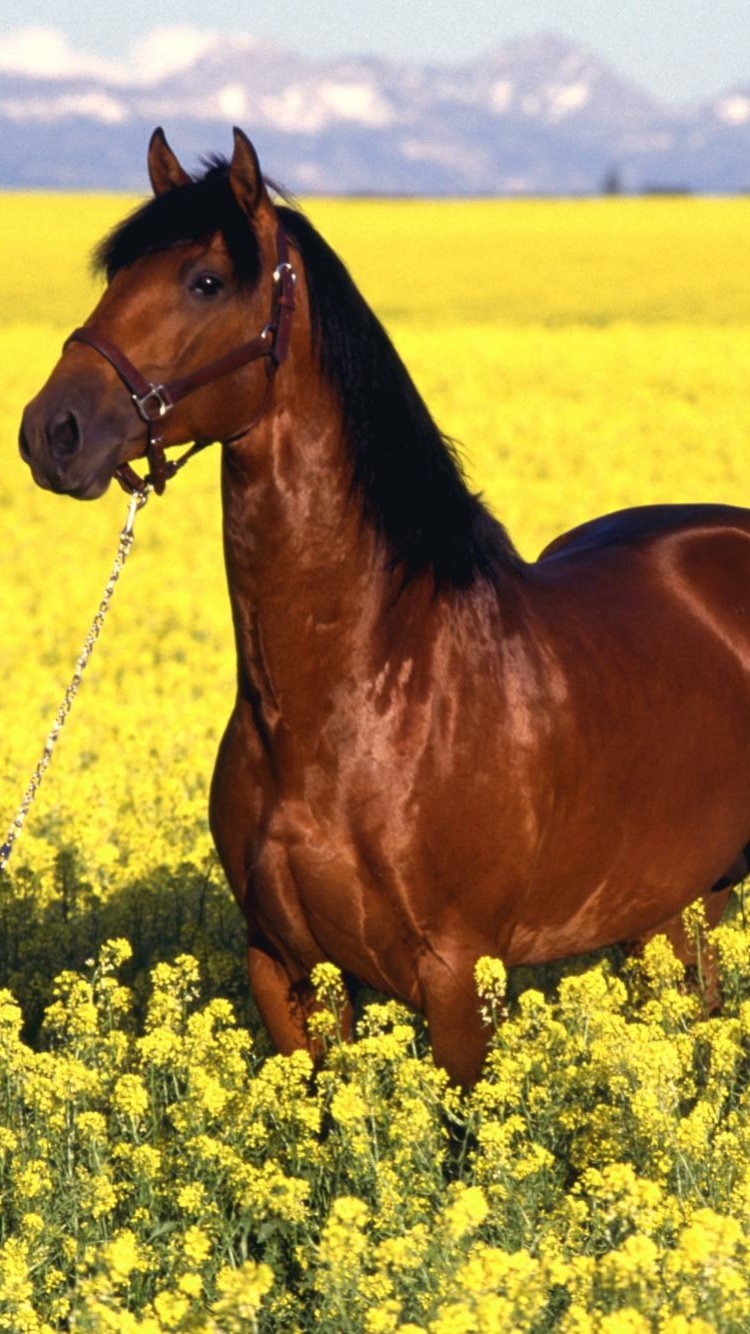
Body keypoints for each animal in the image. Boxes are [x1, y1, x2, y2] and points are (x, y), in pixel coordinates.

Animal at [19, 127, 750, 1085]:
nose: (51, 432)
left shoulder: (459, 975)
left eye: (206, 281)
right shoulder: (286, 969)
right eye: (115, 275)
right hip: (670, 910)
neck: (360, 687)